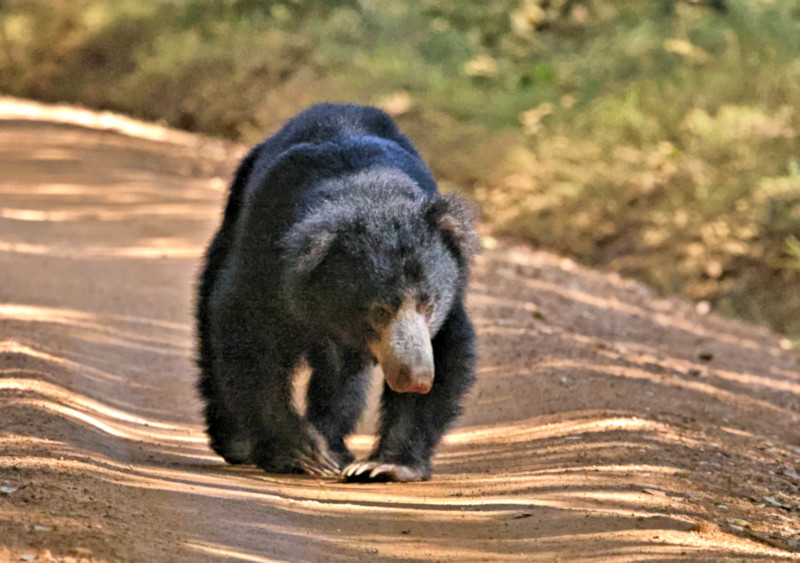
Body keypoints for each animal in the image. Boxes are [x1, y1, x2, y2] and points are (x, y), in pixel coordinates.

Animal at [197, 103, 478, 482]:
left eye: (429, 304)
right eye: (379, 310)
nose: (415, 378)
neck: (370, 192)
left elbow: (450, 347)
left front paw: (385, 465)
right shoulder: (265, 251)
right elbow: (246, 331)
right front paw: (302, 453)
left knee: (341, 377)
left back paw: (336, 446)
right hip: (232, 222)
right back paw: (238, 442)